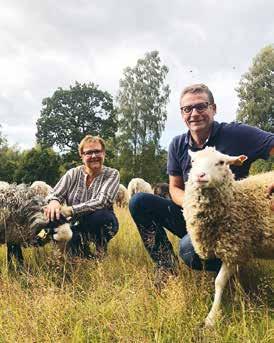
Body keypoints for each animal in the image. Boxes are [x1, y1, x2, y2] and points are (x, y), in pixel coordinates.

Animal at [182, 147, 274, 328]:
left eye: (221, 162)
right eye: (193, 161)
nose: (200, 175)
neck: (235, 200)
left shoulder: (233, 248)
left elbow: (219, 282)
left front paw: (211, 318)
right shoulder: (238, 250)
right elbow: (235, 278)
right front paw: (241, 298)